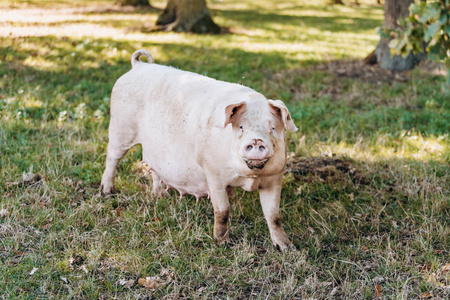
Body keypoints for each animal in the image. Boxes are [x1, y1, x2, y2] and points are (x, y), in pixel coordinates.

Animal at [102, 49, 298, 251]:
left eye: (272, 127)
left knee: (154, 170)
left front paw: (287, 248)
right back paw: (108, 192)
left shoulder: (274, 178)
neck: (249, 178)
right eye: (241, 127)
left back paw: (160, 196)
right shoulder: (214, 174)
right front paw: (223, 243)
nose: (257, 140)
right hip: (120, 128)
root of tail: (138, 66)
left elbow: (274, 215)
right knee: (112, 158)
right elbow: (222, 211)